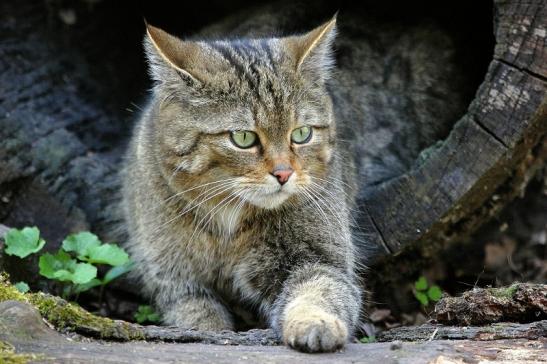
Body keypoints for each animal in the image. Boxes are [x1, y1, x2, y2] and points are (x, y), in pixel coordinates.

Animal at [123, 17, 364, 352]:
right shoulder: (174, 280)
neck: (229, 222)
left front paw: (315, 323)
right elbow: (198, 316)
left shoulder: (320, 258)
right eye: (243, 138)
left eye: (301, 134)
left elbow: (320, 290)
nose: (284, 174)